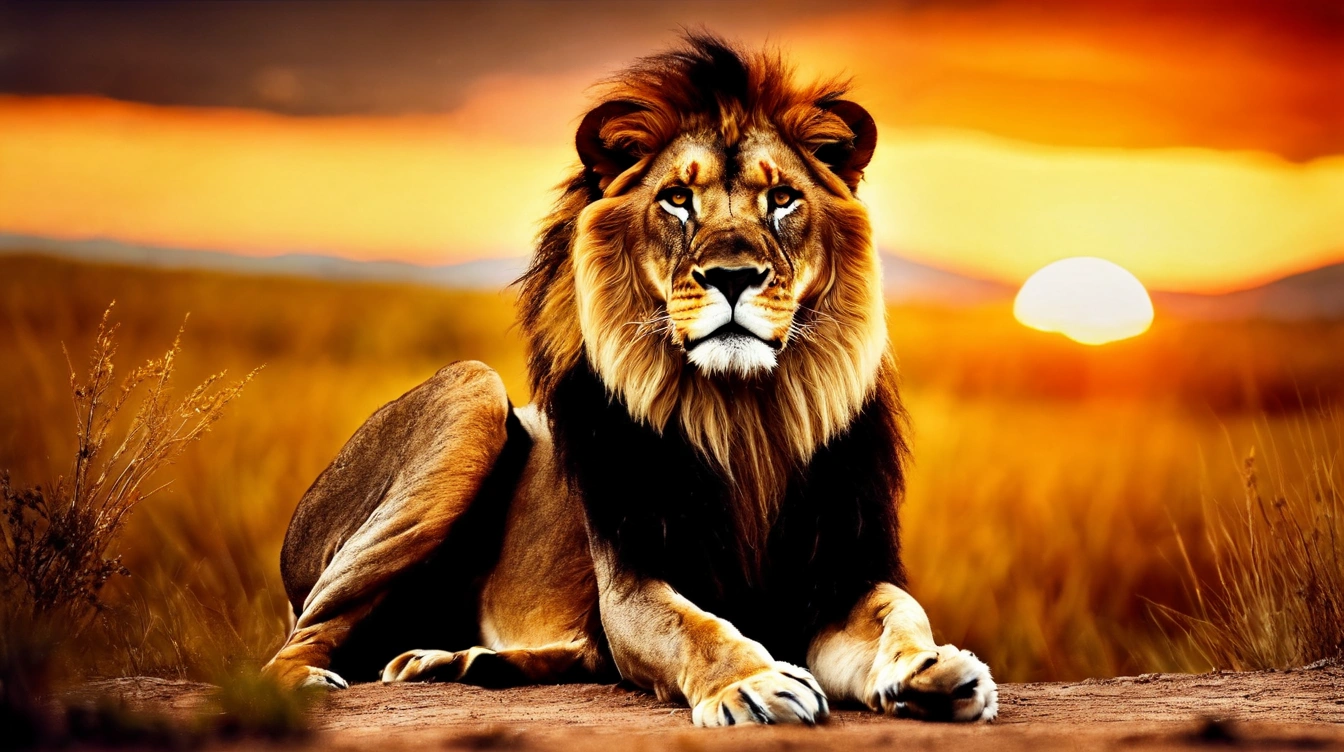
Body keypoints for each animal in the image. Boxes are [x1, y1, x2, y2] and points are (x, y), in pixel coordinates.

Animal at [262, 34, 997, 725]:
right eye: (677, 200)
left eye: (783, 199)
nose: (734, 276)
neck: (746, 420)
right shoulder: (631, 582)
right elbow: (696, 628)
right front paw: (754, 684)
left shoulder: (835, 577)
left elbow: (897, 609)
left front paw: (935, 668)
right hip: (472, 393)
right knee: (299, 635)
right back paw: (308, 680)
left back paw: (463, 661)